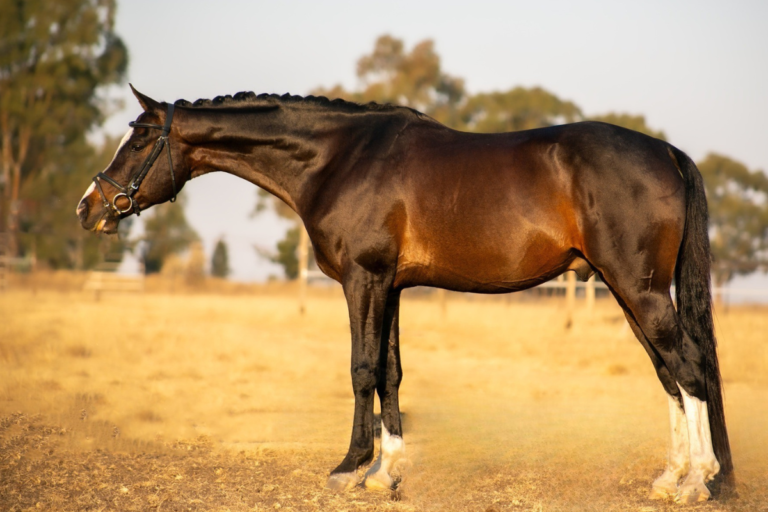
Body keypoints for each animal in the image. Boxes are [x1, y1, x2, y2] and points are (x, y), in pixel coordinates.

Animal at [76, 85, 732, 502]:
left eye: (139, 141)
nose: (89, 207)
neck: (337, 159)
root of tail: (667, 152)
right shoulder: (389, 285)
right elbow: (390, 374)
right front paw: (384, 473)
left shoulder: (362, 279)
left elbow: (361, 368)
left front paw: (348, 469)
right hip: (627, 291)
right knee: (670, 375)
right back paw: (671, 478)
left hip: (639, 289)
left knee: (689, 368)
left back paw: (698, 480)